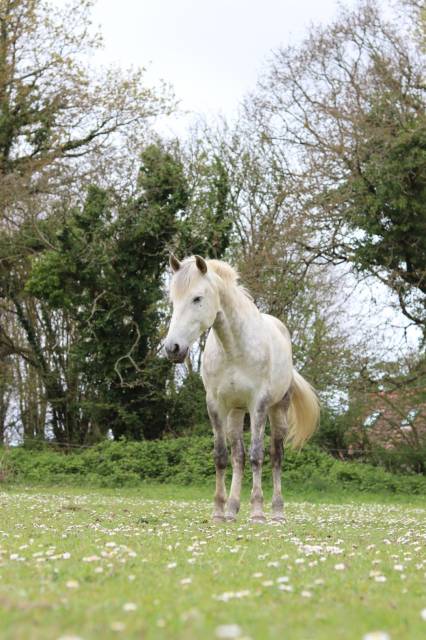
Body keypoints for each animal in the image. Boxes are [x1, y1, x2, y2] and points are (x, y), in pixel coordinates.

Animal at [164, 255, 320, 523]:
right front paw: (218, 510)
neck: (233, 348)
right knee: (238, 457)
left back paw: (277, 511)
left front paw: (257, 511)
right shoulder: (216, 406)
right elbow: (221, 457)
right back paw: (232, 509)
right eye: (174, 300)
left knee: (276, 455)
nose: (172, 348)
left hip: (277, 410)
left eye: (197, 298)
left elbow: (258, 455)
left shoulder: (258, 404)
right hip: (235, 413)